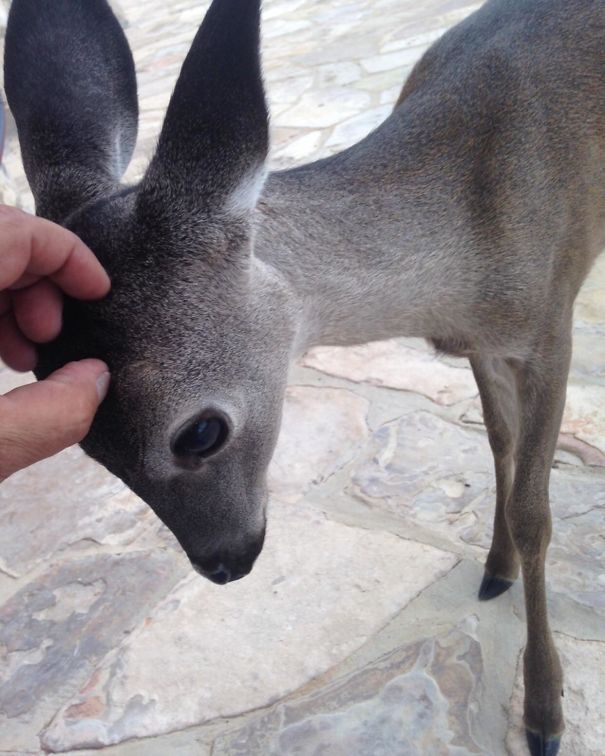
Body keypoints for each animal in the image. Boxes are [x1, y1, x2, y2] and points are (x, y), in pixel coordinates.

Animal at [3, 0, 605, 753]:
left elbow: (534, 510)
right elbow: (499, 444)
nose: (223, 563)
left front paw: (545, 711)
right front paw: (495, 569)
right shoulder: (484, 342)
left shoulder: (551, 319)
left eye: (199, 433)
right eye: (88, 447)